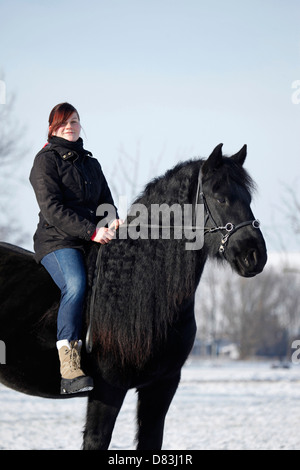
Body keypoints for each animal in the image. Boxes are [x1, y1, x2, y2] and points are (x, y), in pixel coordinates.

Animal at [0, 143, 268, 448]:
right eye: (221, 198)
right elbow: (96, 439)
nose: (255, 256)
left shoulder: (162, 385)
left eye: (248, 198)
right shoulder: (108, 389)